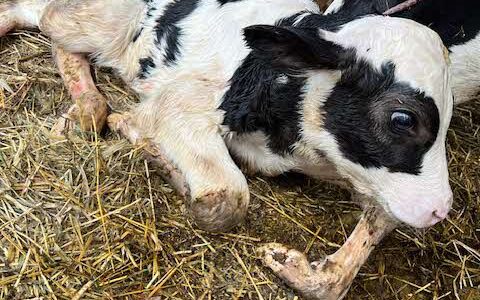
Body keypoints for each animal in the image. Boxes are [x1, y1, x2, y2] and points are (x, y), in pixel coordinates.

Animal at [0, 0, 456, 298]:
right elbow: (226, 200)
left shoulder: (361, 171)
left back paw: (88, 107)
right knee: (42, 15)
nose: (440, 211)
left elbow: (378, 220)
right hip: (97, 21)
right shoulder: (180, 103)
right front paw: (145, 143)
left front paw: (294, 267)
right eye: (403, 119)